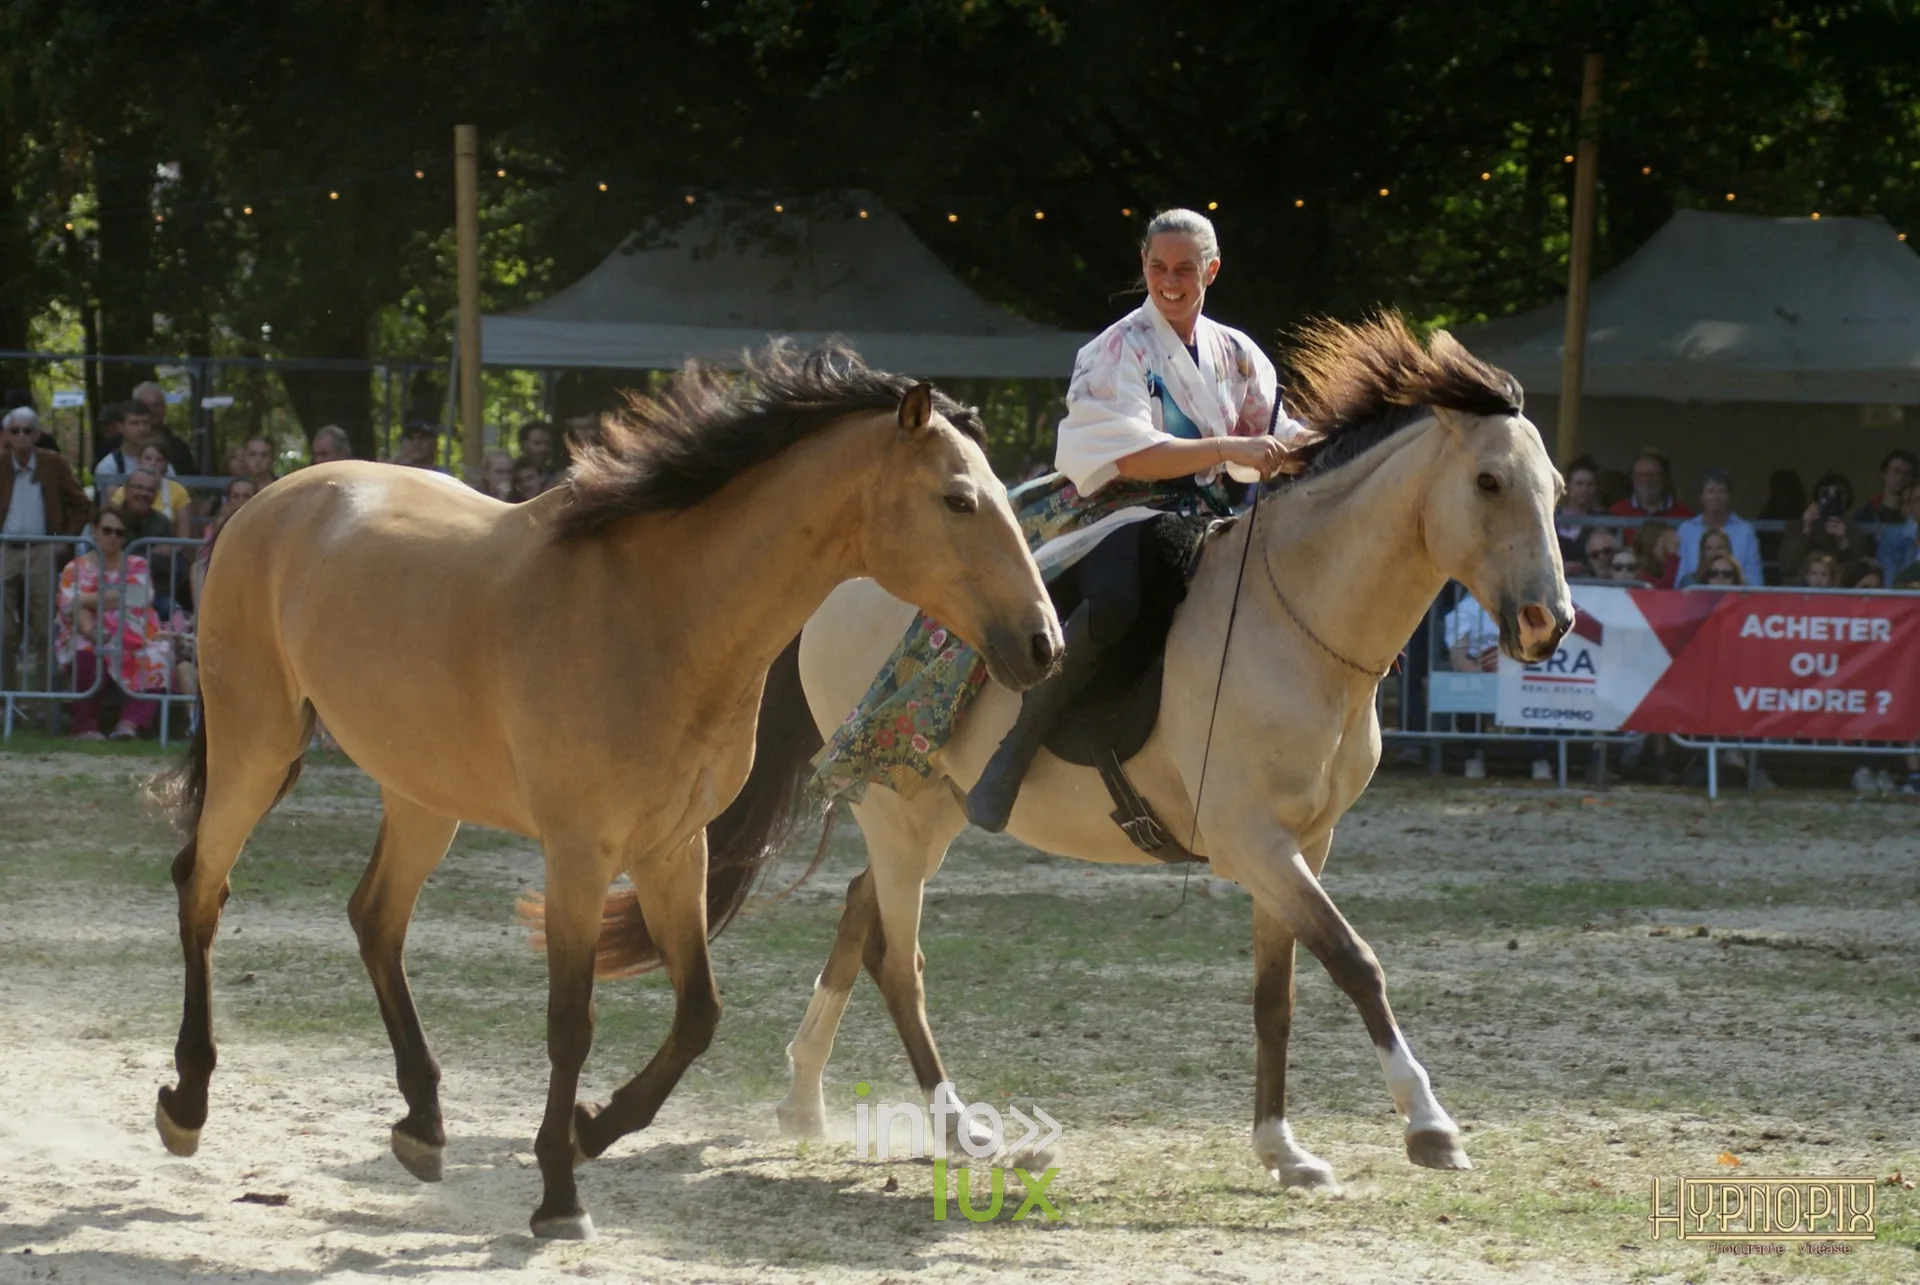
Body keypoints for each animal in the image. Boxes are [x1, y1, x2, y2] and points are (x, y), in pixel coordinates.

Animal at [151, 342, 1064, 1240]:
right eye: (958, 499)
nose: (1043, 643)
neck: (659, 614)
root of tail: (268, 503)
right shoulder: (580, 856)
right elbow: (571, 1022)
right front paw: (560, 1192)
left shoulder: (672, 848)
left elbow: (698, 1013)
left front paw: (593, 1129)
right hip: (257, 749)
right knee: (201, 886)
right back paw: (187, 1102)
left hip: (424, 795)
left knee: (374, 918)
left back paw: (423, 1123)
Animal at [582, 314, 1573, 1193]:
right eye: (1489, 481)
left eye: (1557, 488)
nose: (1547, 621)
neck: (1297, 625)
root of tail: (838, 588)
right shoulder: (1255, 842)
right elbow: (1355, 960)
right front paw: (1429, 1123)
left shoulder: (1301, 844)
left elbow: (1278, 994)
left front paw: (1282, 1148)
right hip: (898, 808)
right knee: (898, 961)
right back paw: (958, 1126)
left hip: (924, 810)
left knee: (862, 914)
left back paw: (803, 1094)